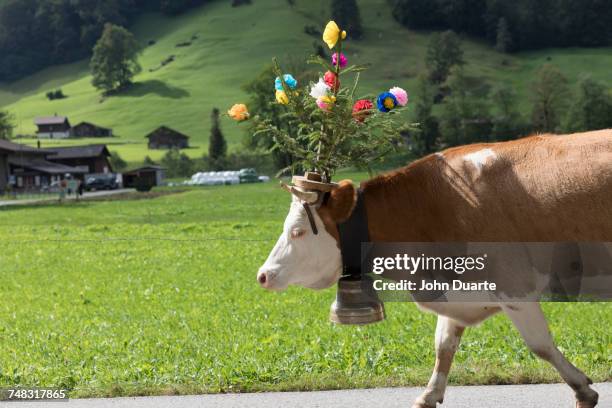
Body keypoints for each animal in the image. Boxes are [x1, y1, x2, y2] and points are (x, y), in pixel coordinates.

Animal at [256, 130, 608, 404]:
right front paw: (429, 395)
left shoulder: (514, 287)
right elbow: (444, 346)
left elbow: (541, 345)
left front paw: (583, 390)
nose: (263, 275)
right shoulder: (454, 287)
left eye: (297, 231)